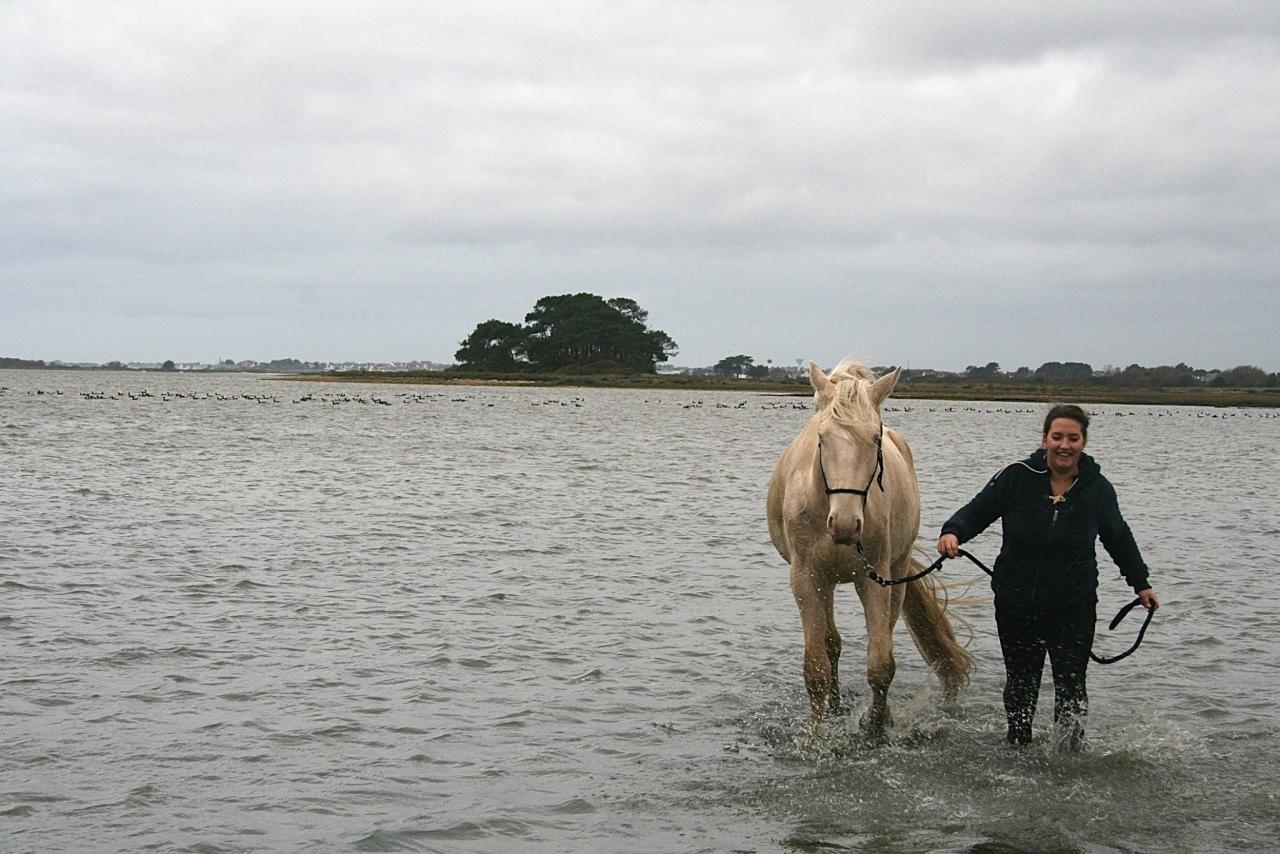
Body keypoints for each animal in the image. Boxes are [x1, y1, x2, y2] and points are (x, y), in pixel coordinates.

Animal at [768, 358, 967, 727]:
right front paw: (816, 735)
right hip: (827, 581)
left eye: (875, 438)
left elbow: (880, 664)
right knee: (832, 643)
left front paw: (877, 724)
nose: (846, 524)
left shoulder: (874, 578)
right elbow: (815, 669)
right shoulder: (807, 578)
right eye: (822, 438)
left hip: (896, 572)